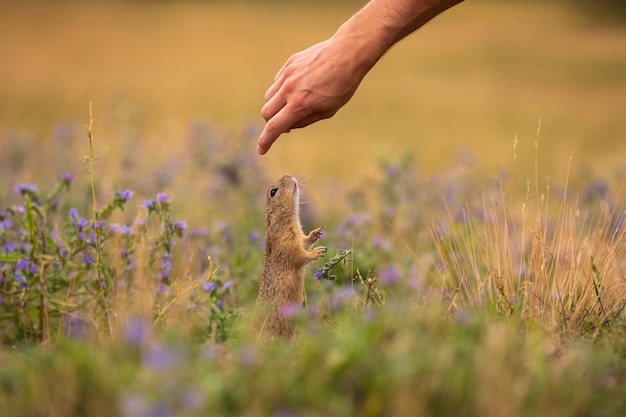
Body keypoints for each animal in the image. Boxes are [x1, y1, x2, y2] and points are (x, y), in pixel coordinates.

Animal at [256, 173, 330, 338]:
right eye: (273, 191)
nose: (288, 175)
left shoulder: (299, 237)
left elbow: (305, 242)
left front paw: (316, 233)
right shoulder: (287, 243)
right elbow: (299, 256)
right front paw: (319, 251)